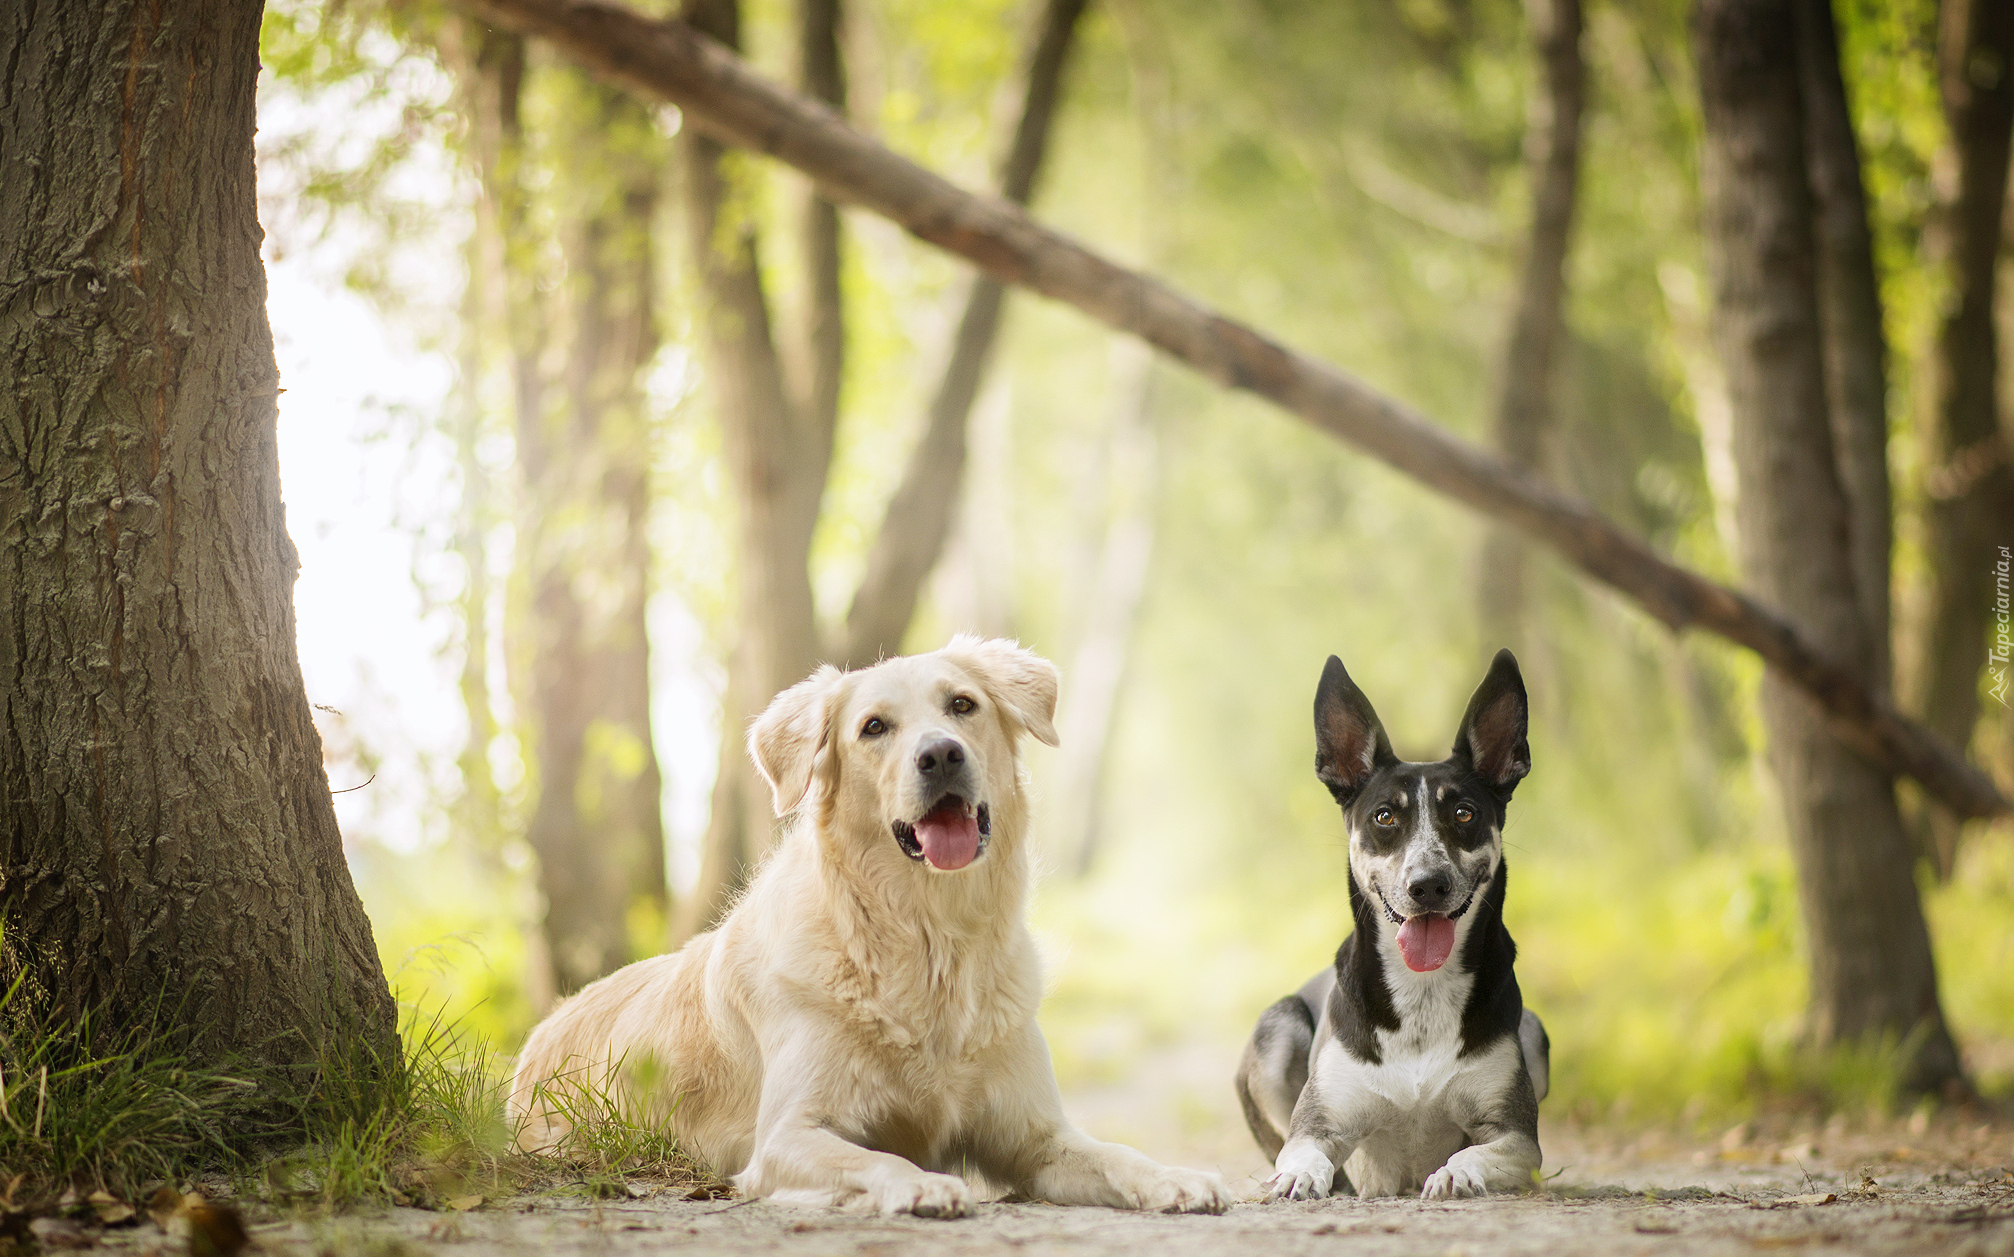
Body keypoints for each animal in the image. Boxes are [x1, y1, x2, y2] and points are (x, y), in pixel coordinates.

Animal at [507, 636, 1224, 1216]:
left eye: (962, 704)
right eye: (874, 727)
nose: (941, 755)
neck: (933, 934)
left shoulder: (1035, 1135)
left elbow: (1115, 1152)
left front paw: (1176, 1177)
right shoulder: (787, 1134)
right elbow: (875, 1155)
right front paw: (922, 1182)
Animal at [1232, 648, 1546, 1200]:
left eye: (1464, 813)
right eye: (1383, 817)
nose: (1428, 885)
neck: (1422, 992)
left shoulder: (1517, 1137)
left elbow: (1476, 1151)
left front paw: (1455, 1172)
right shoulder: (1317, 1125)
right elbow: (1303, 1153)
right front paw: (1298, 1177)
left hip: (1534, 1031)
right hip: (1277, 1028)